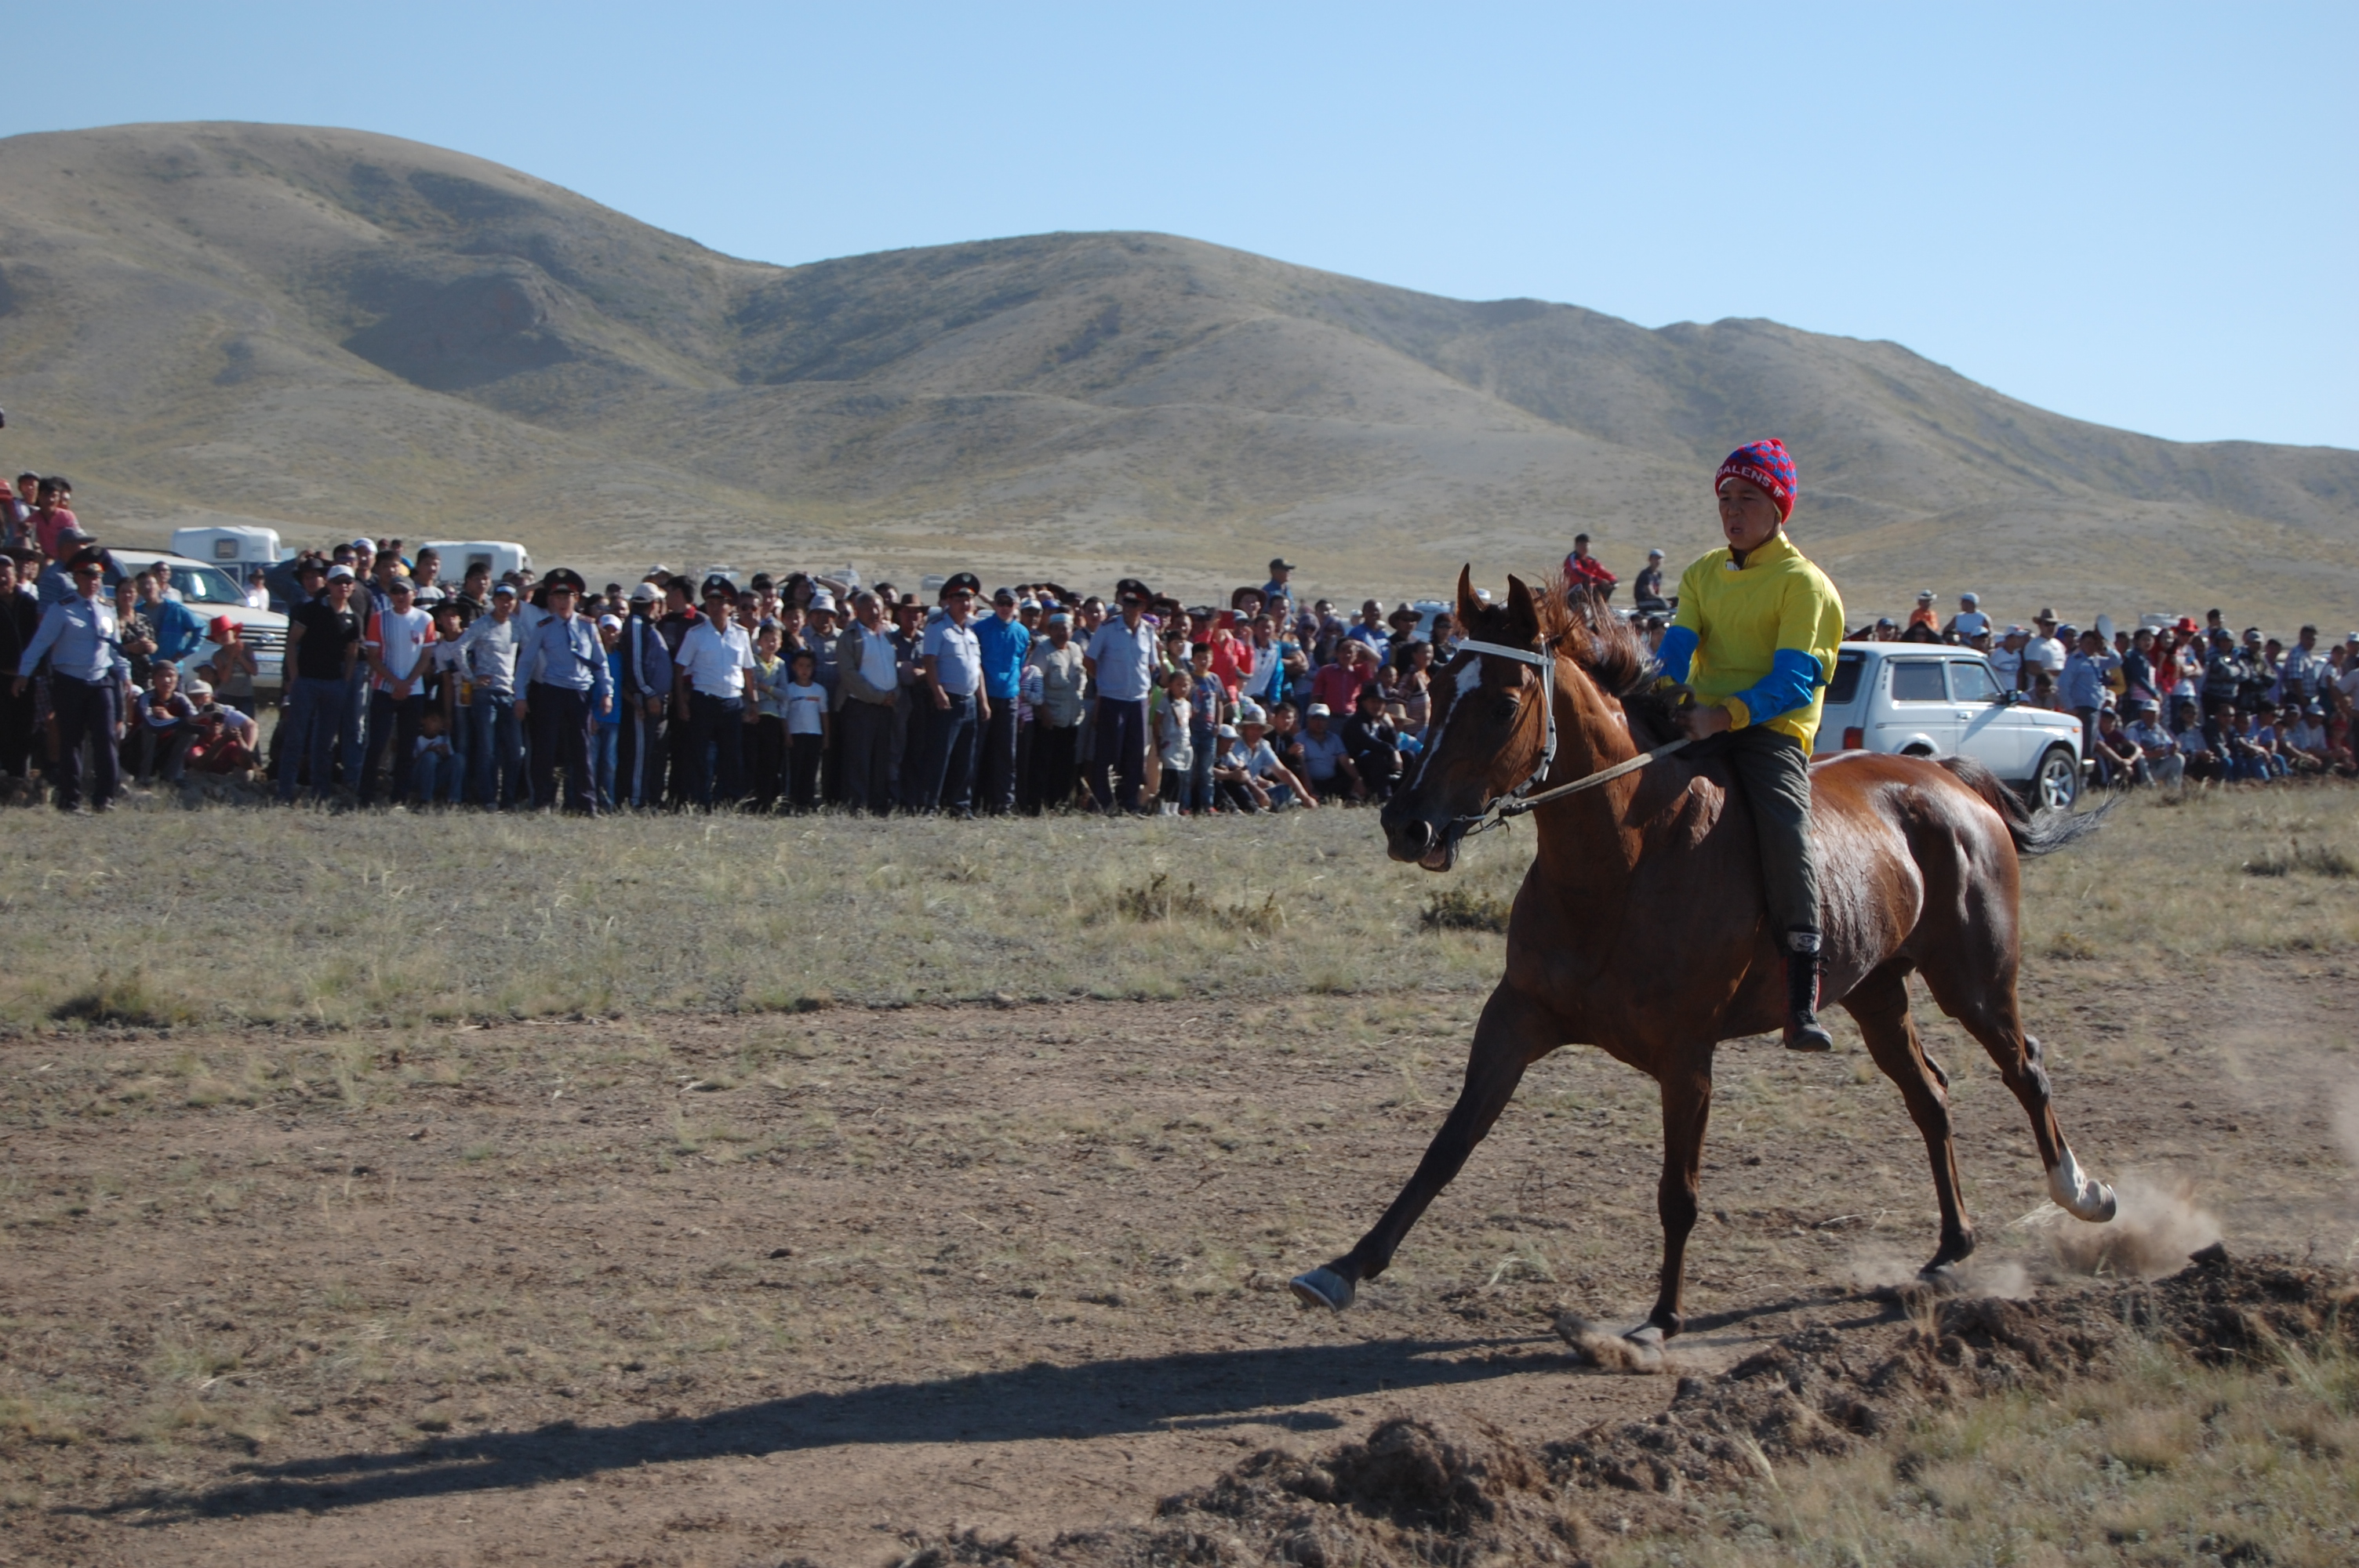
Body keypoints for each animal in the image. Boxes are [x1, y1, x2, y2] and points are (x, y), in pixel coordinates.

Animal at [1289, 568, 2119, 1357]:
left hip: (1974, 980)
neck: (1625, 858)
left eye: (1501, 704)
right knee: (1930, 1096)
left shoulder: (1686, 1057)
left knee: (2024, 1067)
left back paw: (2083, 1195)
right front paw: (1343, 1270)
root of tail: (1951, 777)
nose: (1408, 825)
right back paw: (1951, 1246)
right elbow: (1448, 1146)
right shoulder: (1517, 1018)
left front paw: (1660, 1321)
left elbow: (1678, 1192)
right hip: (1878, 992)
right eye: (1432, 689)